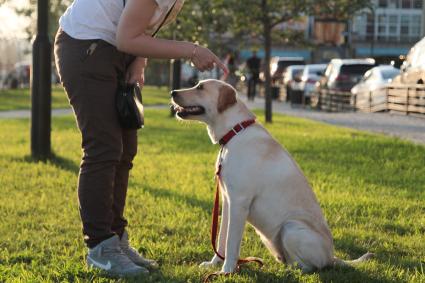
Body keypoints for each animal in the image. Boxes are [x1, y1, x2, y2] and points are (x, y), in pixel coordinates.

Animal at [169, 79, 372, 276]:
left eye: (200, 87)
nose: (172, 92)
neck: (234, 132)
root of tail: (332, 256)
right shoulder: (228, 201)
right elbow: (221, 239)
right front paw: (214, 264)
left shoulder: (239, 202)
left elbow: (232, 243)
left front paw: (226, 271)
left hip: (291, 228)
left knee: (313, 267)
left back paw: (294, 271)